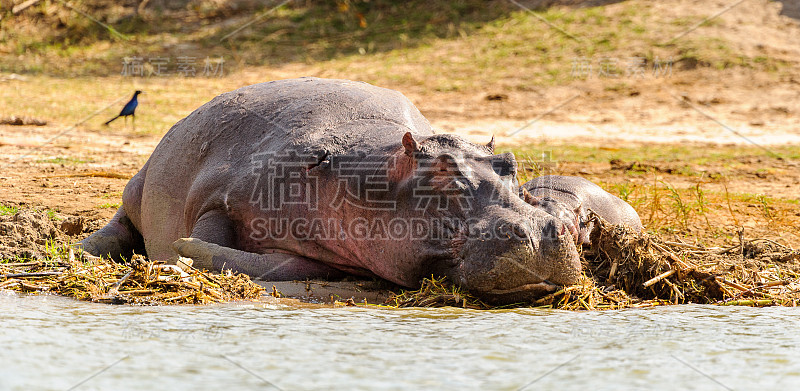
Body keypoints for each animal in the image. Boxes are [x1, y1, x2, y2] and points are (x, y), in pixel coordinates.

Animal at [78, 77, 580, 304]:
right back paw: (83, 250)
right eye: (442, 171)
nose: (539, 232)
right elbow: (207, 235)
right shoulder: (221, 196)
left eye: (511, 163)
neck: (377, 172)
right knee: (118, 223)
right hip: (137, 186)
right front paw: (180, 254)